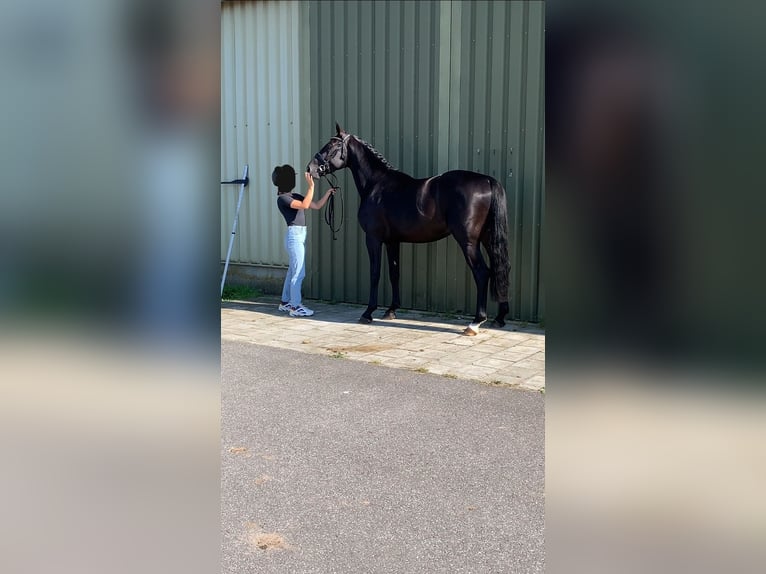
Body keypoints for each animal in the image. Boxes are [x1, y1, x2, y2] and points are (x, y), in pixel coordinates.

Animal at [306, 124, 510, 336]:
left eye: (332, 146)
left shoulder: (373, 238)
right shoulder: (392, 241)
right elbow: (394, 272)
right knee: (501, 269)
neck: (376, 184)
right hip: (488, 238)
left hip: (468, 241)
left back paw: (475, 322)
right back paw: (499, 318)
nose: (310, 169)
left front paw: (368, 313)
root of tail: (488, 181)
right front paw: (391, 310)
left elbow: (375, 273)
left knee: (482, 273)